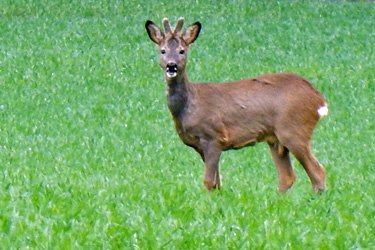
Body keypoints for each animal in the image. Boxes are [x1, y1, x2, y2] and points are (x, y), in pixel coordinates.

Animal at [145, 17, 328, 192]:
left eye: (182, 51)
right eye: (163, 50)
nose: (171, 65)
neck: (188, 106)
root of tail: (319, 99)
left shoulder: (214, 136)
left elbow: (209, 182)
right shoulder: (200, 146)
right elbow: (217, 183)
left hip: (294, 129)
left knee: (318, 171)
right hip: (275, 138)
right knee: (287, 177)